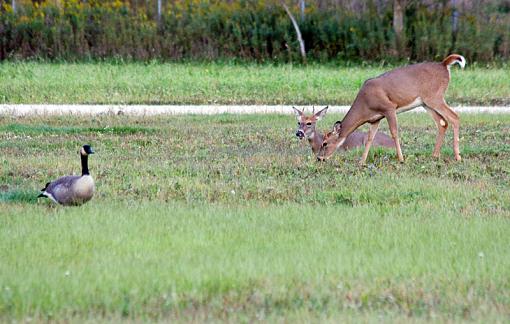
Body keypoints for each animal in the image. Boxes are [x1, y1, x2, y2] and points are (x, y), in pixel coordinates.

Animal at [318, 54, 466, 165]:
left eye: (325, 143)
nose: (319, 158)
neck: (365, 105)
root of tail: (444, 64)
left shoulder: (389, 108)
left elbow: (394, 133)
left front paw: (401, 159)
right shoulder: (375, 119)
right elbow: (370, 138)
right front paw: (361, 161)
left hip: (434, 97)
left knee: (454, 117)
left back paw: (457, 156)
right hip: (425, 103)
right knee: (442, 122)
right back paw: (435, 155)